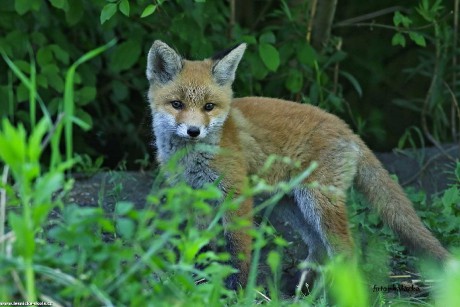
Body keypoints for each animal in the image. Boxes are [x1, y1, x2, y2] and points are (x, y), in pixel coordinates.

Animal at [146, 41, 450, 292]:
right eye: (177, 104)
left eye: (209, 106)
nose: (194, 131)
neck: (192, 157)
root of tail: (347, 128)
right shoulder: (191, 194)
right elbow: (198, 244)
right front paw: (195, 279)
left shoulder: (235, 194)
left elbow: (237, 248)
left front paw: (237, 290)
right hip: (290, 204)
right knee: (318, 248)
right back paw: (303, 289)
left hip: (317, 201)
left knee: (345, 251)